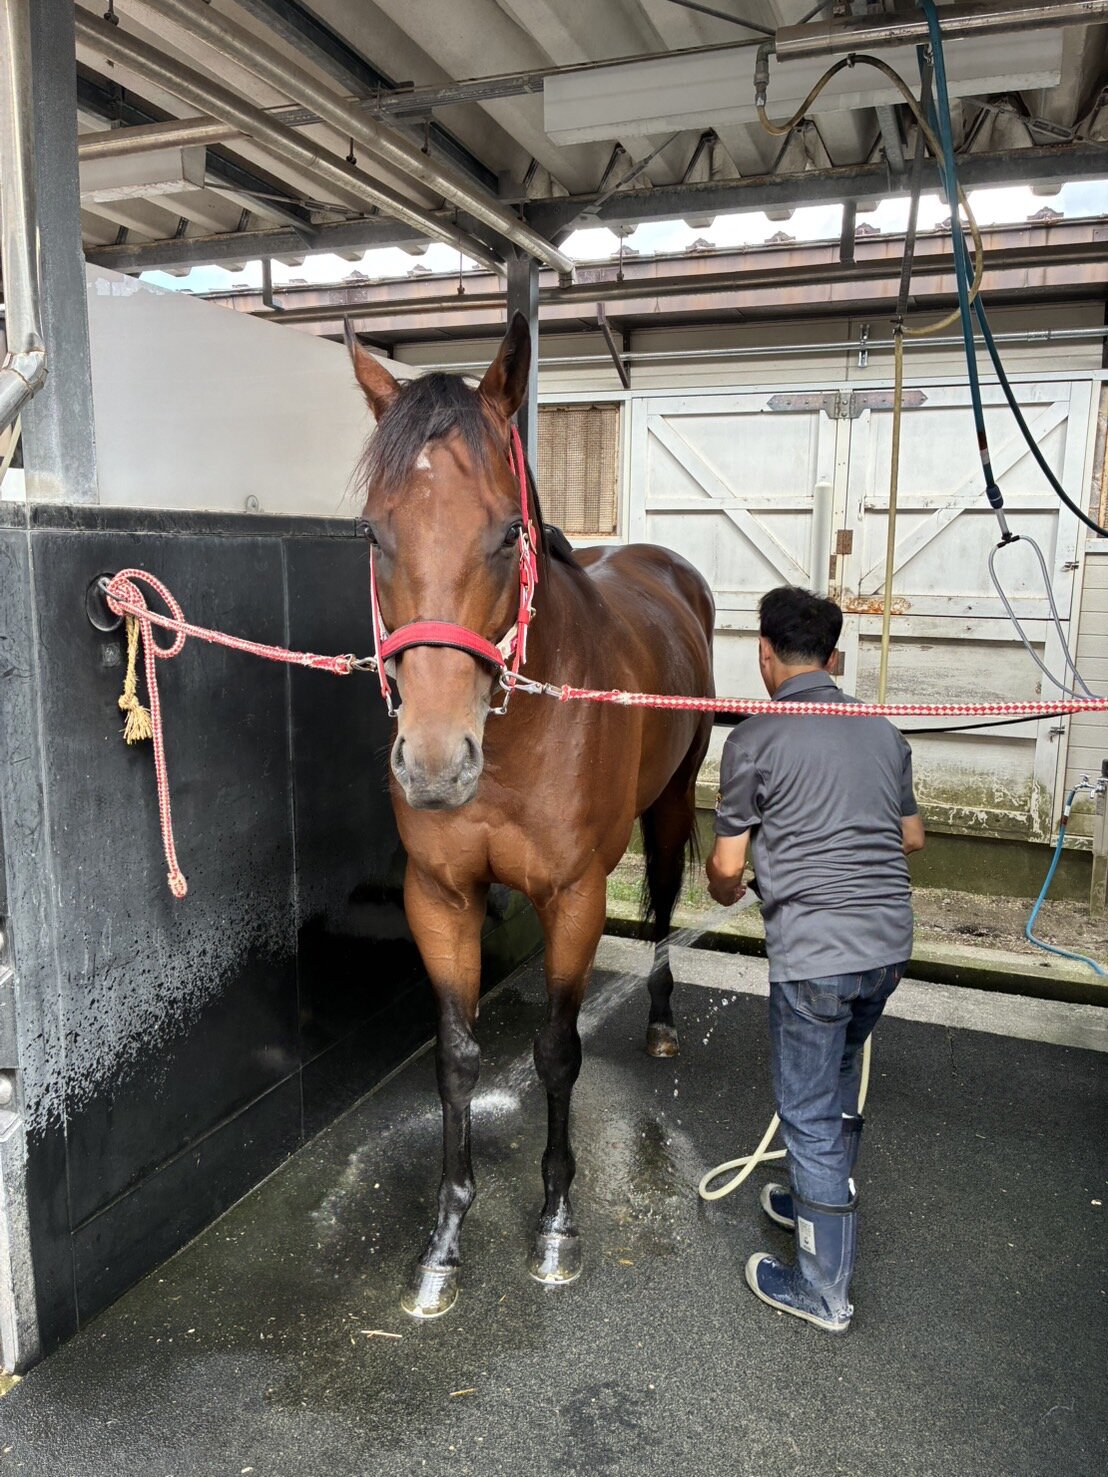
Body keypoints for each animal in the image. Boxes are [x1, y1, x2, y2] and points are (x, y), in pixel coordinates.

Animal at [346, 313, 715, 1318]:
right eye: (373, 533)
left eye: (506, 529)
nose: (435, 764)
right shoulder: (441, 898)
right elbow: (457, 1059)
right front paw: (443, 1239)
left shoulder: (575, 896)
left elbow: (556, 1050)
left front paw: (555, 1220)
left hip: (669, 804)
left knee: (660, 904)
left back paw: (661, 1018)